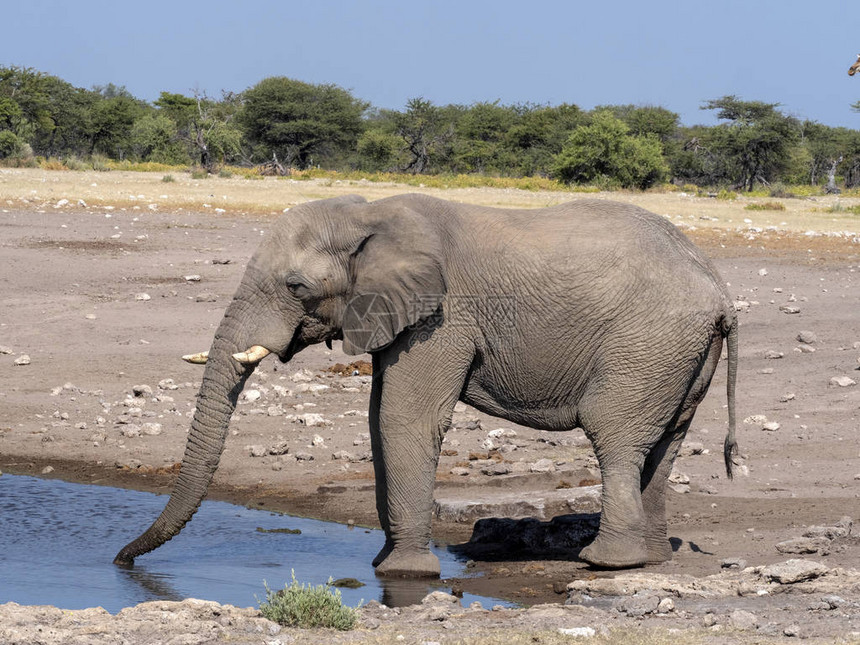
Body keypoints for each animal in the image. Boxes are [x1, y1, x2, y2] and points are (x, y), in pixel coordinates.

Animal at [114, 194, 740, 576]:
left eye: (295, 287)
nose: (120, 561)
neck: (370, 214)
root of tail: (719, 290)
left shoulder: (443, 317)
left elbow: (403, 419)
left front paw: (405, 574)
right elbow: (378, 420)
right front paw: (381, 568)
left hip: (647, 342)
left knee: (615, 436)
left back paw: (607, 562)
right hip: (678, 353)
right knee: (665, 443)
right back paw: (653, 560)